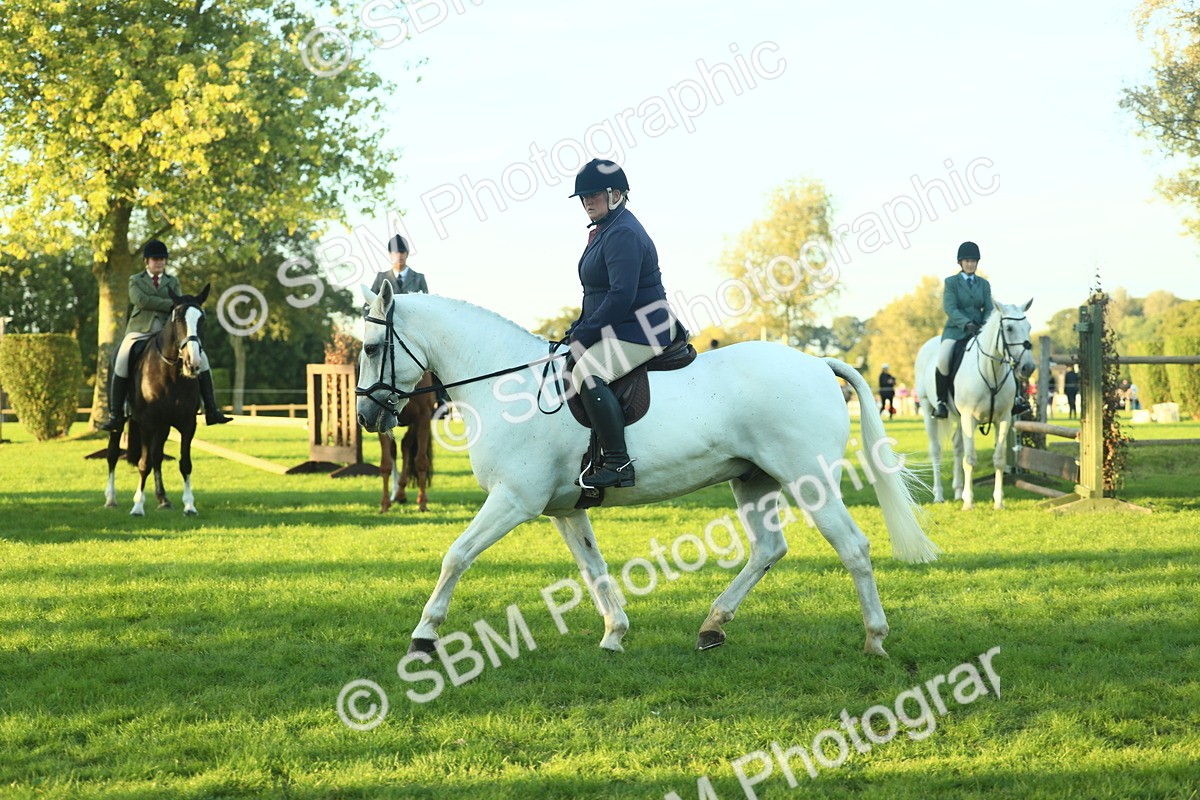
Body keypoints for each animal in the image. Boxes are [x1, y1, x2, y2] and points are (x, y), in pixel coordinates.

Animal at [104, 285, 211, 516]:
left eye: (202, 319)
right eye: (177, 319)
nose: (193, 363)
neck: (170, 373)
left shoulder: (187, 424)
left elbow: (184, 463)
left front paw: (189, 505)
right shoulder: (147, 423)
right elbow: (143, 463)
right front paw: (137, 506)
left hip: (163, 427)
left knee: (157, 457)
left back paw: (163, 499)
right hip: (121, 422)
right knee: (113, 454)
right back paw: (111, 498)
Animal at [378, 371, 436, 513]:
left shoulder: (423, 417)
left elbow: (421, 462)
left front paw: (422, 503)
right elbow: (386, 464)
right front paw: (385, 504)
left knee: (406, 445)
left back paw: (401, 492)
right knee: (396, 449)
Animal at [913, 299, 1036, 510]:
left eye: (1028, 327)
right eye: (1009, 328)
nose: (1028, 367)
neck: (990, 371)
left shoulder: (1003, 419)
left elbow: (999, 459)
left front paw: (998, 502)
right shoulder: (969, 417)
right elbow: (970, 460)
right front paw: (969, 503)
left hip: (959, 418)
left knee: (957, 447)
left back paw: (957, 492)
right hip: (929, 410)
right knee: (936, 450)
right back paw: (939, 495)